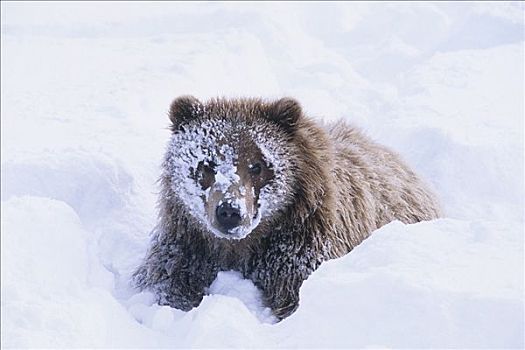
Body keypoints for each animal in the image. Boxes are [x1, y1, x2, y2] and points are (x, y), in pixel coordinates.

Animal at [133, 95, 440, 320]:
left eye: (257, 165)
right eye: (206, 164)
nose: (230, 212)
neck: (243, 247)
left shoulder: (300, 249)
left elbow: (295, 291)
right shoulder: (189, 245)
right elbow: (165, 281)